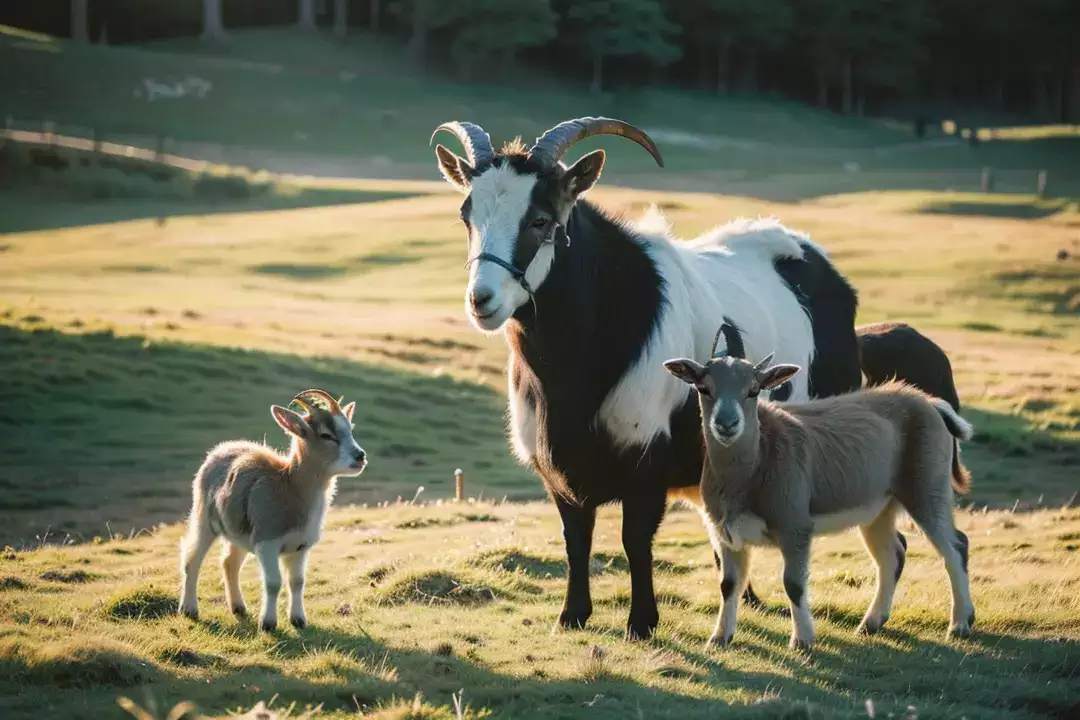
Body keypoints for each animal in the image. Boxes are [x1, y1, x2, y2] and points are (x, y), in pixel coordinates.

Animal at [429, 118, 859, 643]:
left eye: (541, 220)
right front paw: (572, 615)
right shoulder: (559, 471)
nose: (481, 300)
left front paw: (641, 622)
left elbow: (635, 540)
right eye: (466, 215)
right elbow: (576, 538)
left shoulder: (648, 461)